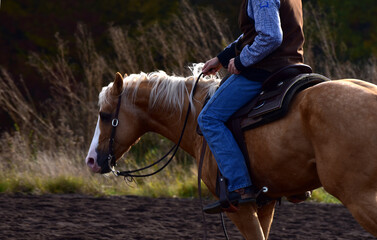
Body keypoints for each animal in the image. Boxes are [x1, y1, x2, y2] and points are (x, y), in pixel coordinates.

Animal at [85, 67, 376, 238]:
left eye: (105, 115)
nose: (91, 161)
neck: (196, 117)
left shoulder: (238, 206)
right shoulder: (265, 202)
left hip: (358, 197)